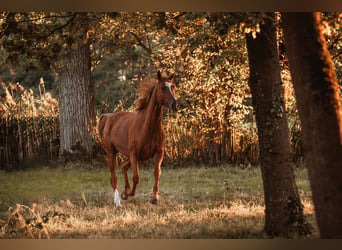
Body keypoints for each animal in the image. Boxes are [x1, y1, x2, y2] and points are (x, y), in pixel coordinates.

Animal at [98, 70, 179, 207]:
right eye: (162, 88)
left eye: (173, 87)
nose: (175, 105)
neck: (147, 128)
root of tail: (109, 117)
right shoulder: (134, 153)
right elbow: (136, 177)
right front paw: (130, 193)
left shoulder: (158, 153)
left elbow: (157, 173)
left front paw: (154, 199)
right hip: (112, 152)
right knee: (113, 176)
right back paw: (118, 201)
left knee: (123, 166)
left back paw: (124, 193)